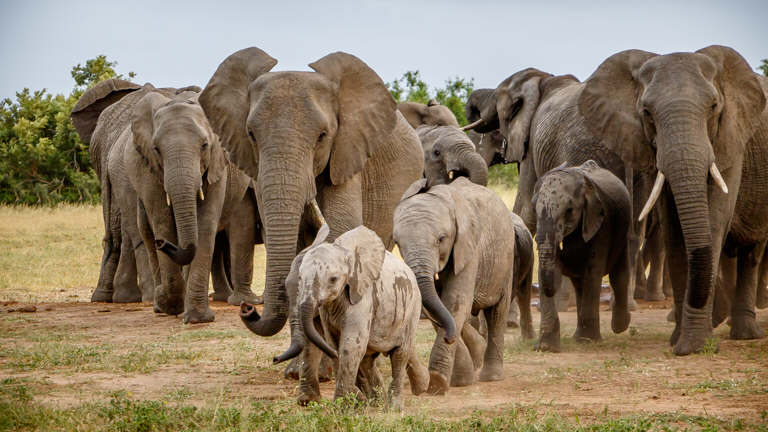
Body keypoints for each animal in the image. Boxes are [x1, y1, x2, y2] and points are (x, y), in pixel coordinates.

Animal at [198, 48, 424, 378]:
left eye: (322, 136)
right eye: (251, 134)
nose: (248, 309)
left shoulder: (347, 151)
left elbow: (343, 227)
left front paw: (325, 371)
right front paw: (299, 372)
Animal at [292, 224, 428, 409]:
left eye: (333, 279)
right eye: (299, 277)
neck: (344, 251)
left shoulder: (363, 295)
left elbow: (350, 345)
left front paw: (343, 408)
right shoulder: (327, 309)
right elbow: (334, 343)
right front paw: (356, 402)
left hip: (412, 308)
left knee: (400, 354)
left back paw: (392, 407)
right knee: (367, 359)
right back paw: (377, 402)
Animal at [394, 177, 517, 395]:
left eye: (441, 239)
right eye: (398, 243)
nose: (449, 338)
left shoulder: (468, 248)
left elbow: (455, 302)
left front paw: (437, 382)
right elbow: (436, 308)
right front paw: (457, 382)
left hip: (506, 256)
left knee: (497, 312)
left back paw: (491, 377)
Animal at [532, 161, 632, 351]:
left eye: (569, 210)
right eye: (535, 209)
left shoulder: (601, 225)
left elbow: (593, 272)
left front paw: (587, 341)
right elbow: (552, 272)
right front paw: (546, 347)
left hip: (624, 232)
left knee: (618, 276)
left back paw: (619, 327)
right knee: (580, 285)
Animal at [576, 45, 768, 354]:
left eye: (713, 107)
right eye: (646, 112)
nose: (683, 348)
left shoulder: (730, 140)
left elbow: (713, 223)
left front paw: (696, 344)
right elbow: (675, 234)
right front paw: (681, 340)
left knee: (752, 251)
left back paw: (744, 334)